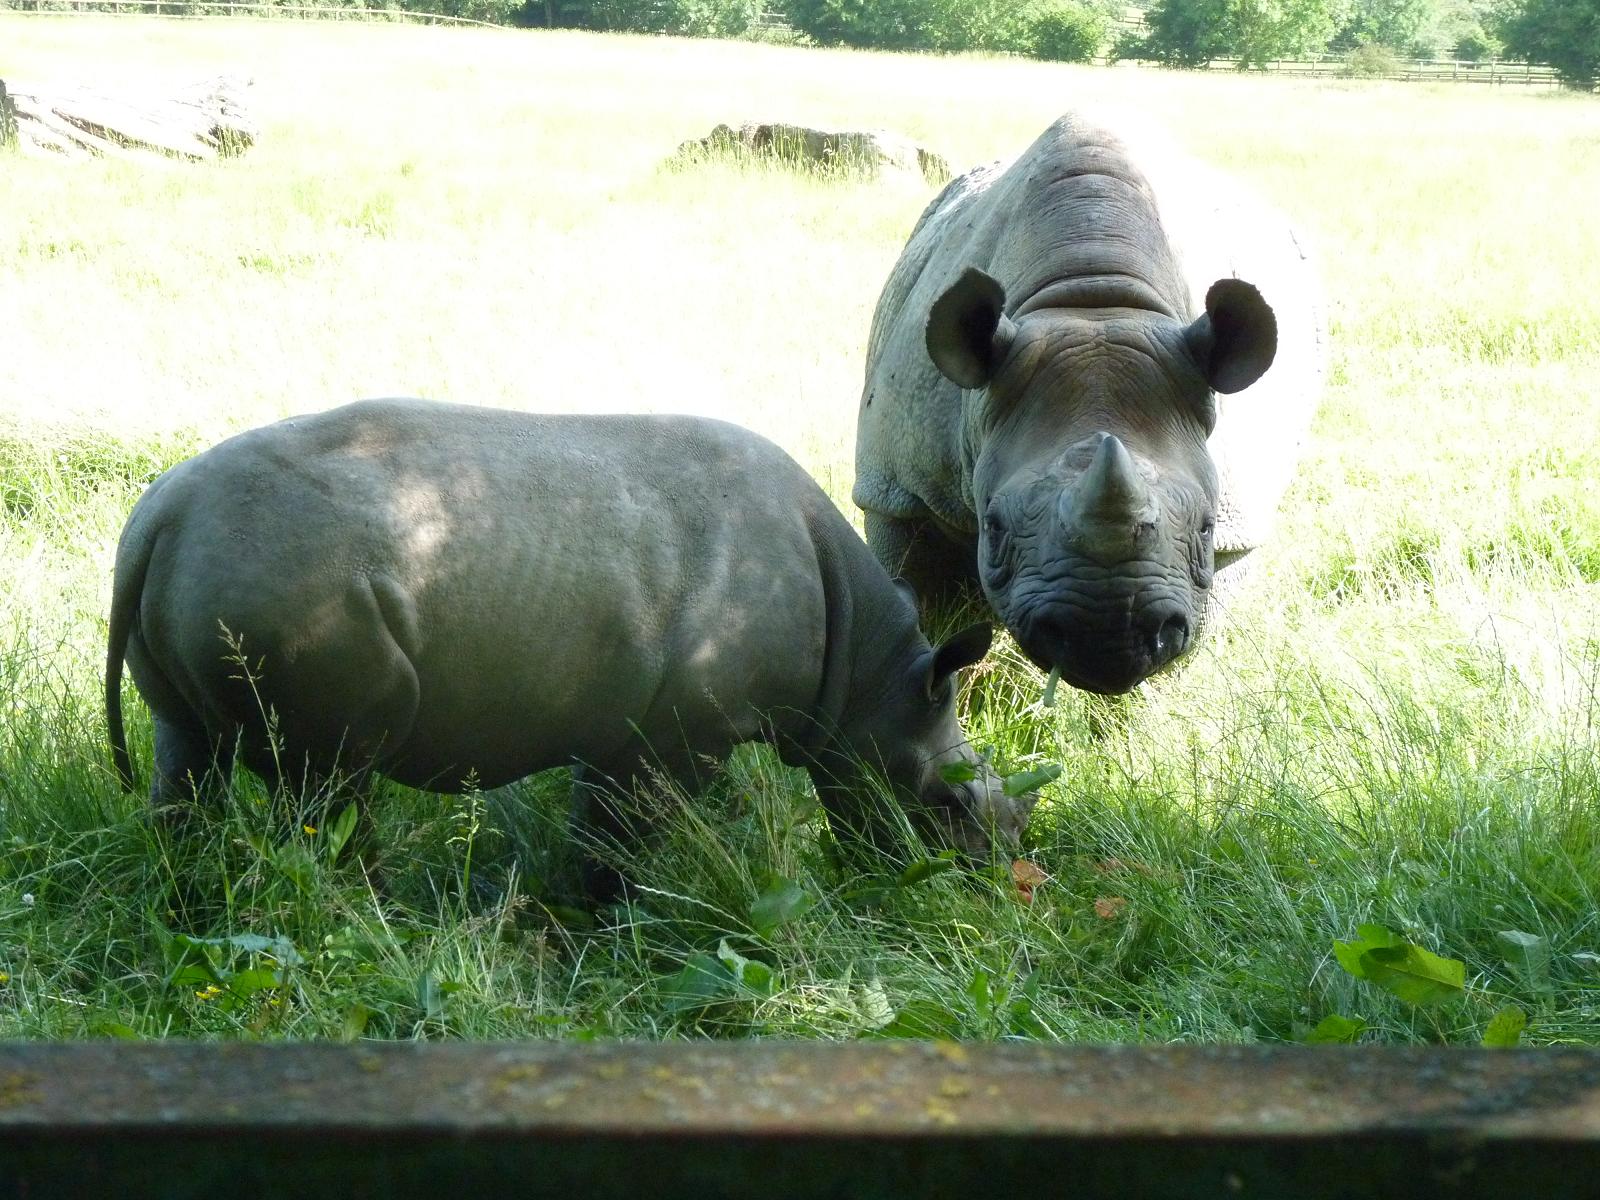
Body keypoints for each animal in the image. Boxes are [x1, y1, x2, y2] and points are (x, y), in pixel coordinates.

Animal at [105, 399, 1032, 889]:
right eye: (946, 806)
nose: (994, 884)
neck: (871, 671)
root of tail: (158, 520)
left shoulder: (630, 726)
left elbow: (601, 824)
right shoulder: (684, 735)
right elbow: (627, 837)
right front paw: (614, 911)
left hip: (214, 570)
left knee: (186, 754)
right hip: (295, 589)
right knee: (327, 779)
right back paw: (361, 900)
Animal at [854, 114, 1325, 695]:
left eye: (1207, 526)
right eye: (994, 525)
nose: (1106, 637)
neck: (1094, 300)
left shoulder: (1239, 522)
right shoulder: (898, 489)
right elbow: (923, 610)